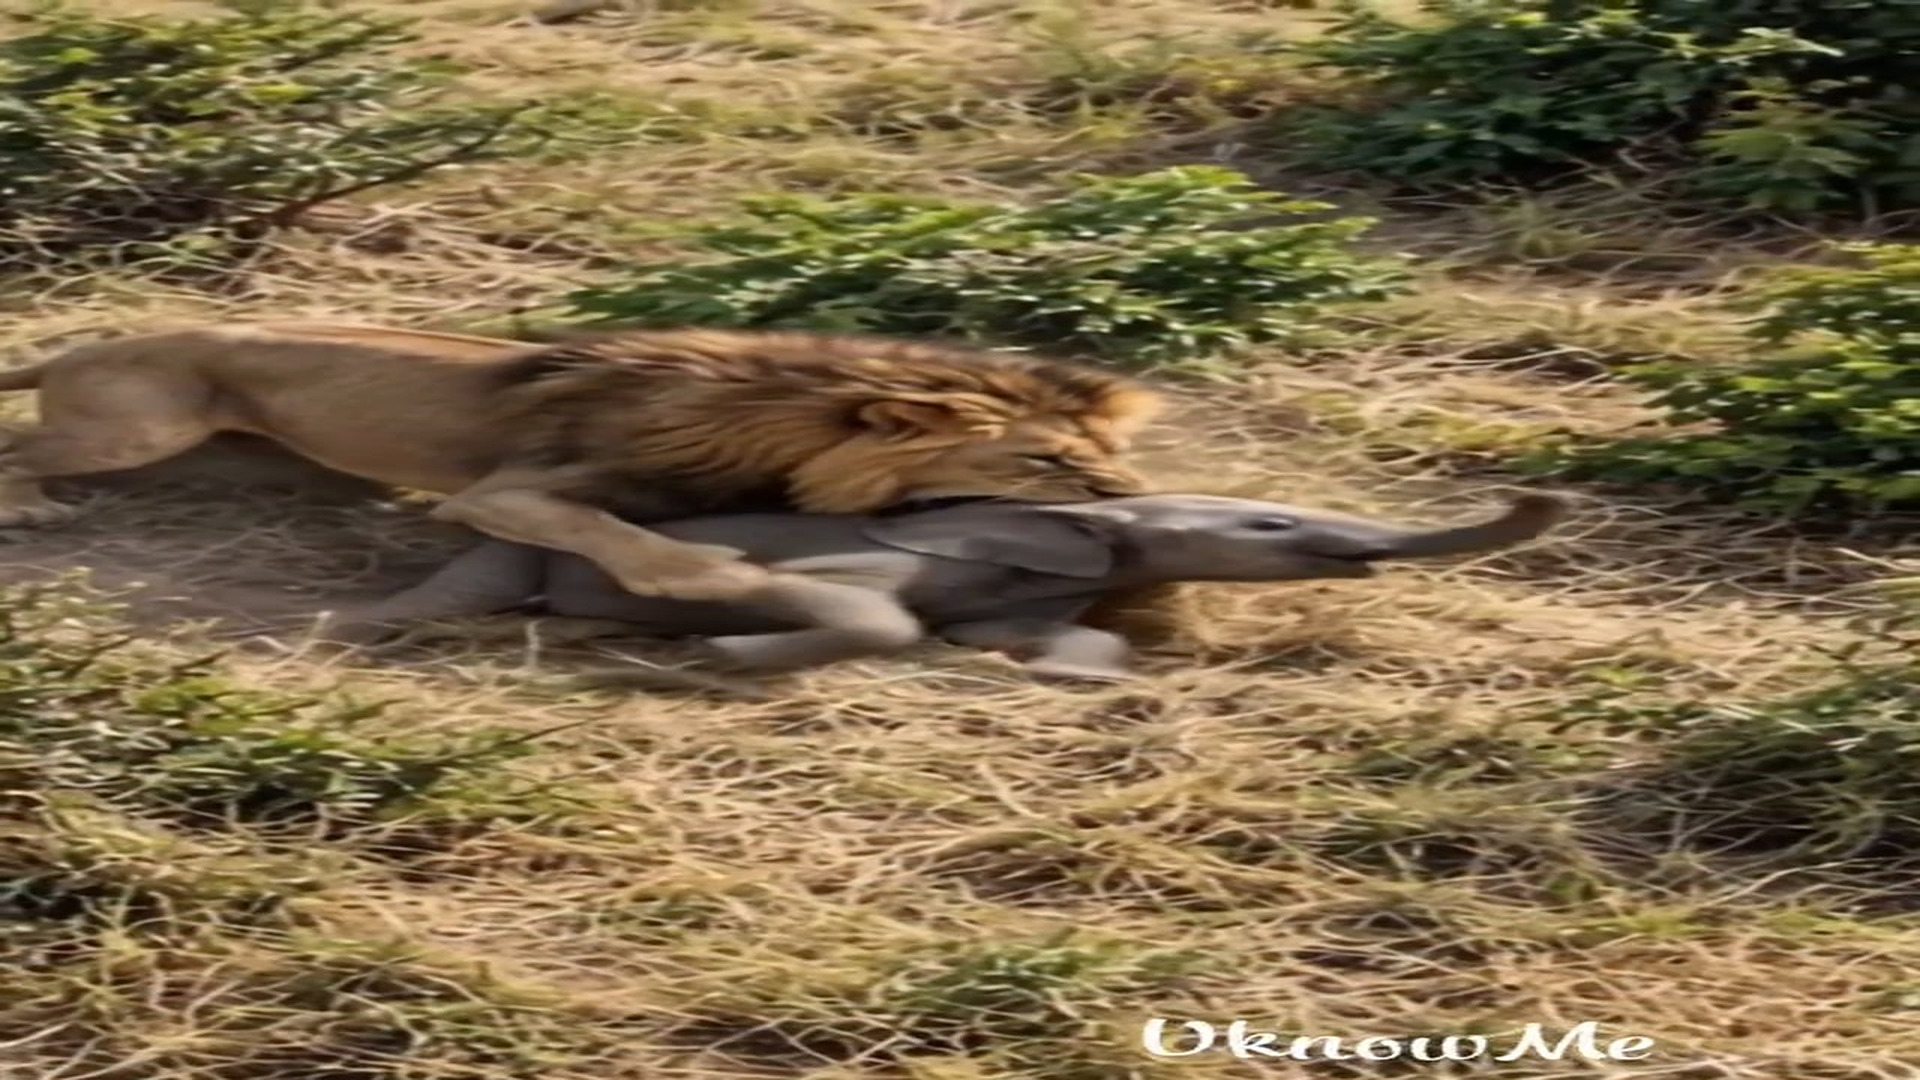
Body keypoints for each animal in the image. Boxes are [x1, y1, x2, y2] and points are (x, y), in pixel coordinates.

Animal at [0, 322, 1164, 618]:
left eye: (1114, 454)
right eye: (1049, 461)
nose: (1138, 504)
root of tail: (87, 341)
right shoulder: (501, 492)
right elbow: (606, 529)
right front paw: (721, 577)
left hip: (252, 459)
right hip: (143, 425)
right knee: (19, 440)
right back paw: (31, 507)